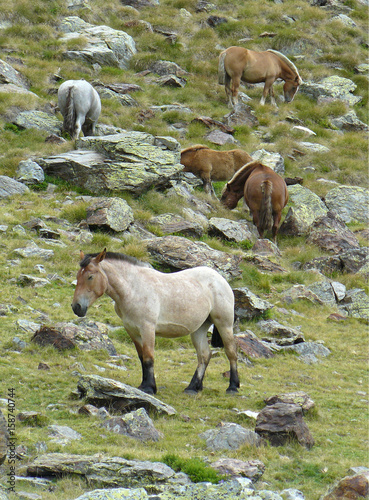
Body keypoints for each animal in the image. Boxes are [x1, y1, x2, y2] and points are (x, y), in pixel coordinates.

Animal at [71, 249, 239, 394]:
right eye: (78, 276)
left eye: (90, 276)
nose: (76, 307)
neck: (133, 289)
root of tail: (220, 278)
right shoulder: (132, 330)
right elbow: (141, 358)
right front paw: (143, 385)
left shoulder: (147, 328)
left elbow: (148, 357)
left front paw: (149, 388)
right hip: (199, 329)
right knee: (204, 355)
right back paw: (193, 387)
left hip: (224, 324)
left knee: (231, 352)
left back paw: (233, 387)